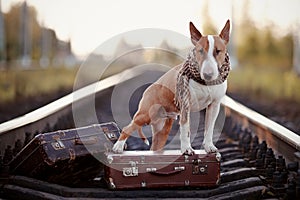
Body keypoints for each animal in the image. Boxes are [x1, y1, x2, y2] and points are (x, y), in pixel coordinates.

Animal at [113, 19, 231, 155]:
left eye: (218, 51)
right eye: (200, 51)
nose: (208, 74)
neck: (205, 83)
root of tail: (147, 91)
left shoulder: (214, 106)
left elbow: (209, 129)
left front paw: (209, 147)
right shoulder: (185, 105)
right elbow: (185, 130)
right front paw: (187, 149)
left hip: (163, 128)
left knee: (155, 145)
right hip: (144, 115)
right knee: (128, 127)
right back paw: (118, 147)